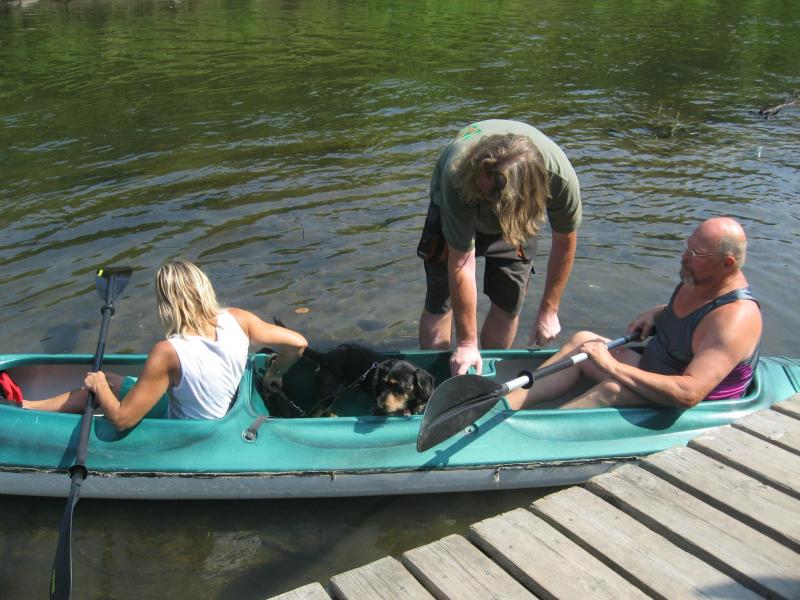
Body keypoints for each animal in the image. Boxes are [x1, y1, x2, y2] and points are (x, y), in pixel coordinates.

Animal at [304, 343, 435, 417]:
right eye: (384, 383)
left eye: (399, 388)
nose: (379, 404)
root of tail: (324, 357)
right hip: (328, 394)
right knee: (315, 413)